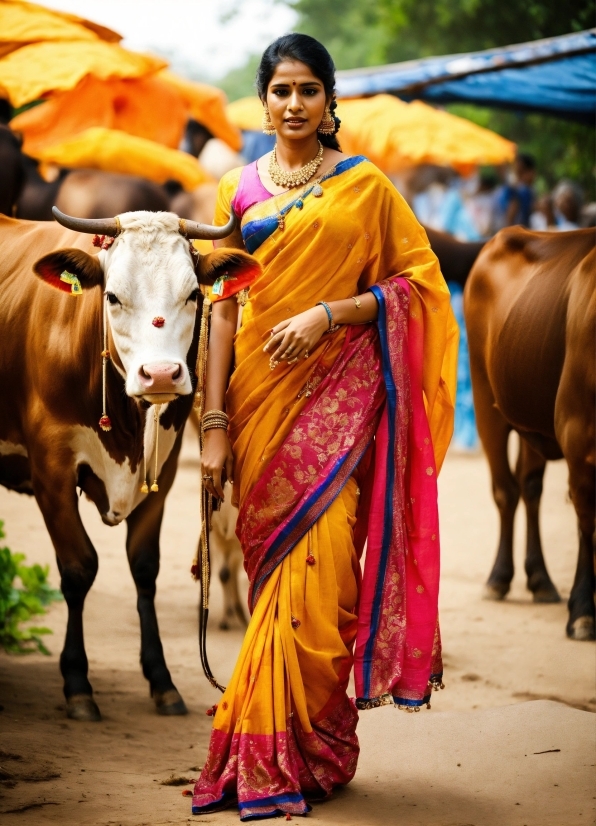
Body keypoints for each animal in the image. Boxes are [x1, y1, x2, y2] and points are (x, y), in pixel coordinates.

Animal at [0, 206, 258, 716]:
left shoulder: (161, 473)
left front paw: (161, 680)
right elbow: (79, 567)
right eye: (113, 296)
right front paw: (77, 682)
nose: (160, 374)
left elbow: (144, 568)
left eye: (193, 294)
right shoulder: (51, 474)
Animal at [466, 225, 596, 636]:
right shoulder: (576, 430)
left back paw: (540, 579)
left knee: (530, 486)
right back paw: (499, 578)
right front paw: (583, 609)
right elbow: (587, 518)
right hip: (485, 401)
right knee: (507, 490)